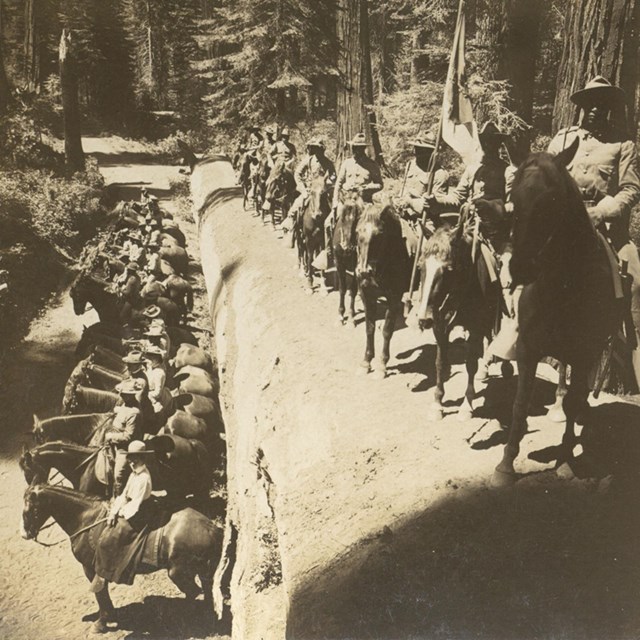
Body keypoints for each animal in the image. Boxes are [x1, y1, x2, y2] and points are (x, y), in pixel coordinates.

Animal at [20, 484, 222, 636]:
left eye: (29, 509)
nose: (24, 534)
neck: (87, 519)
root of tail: (210, 526)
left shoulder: (90, 569)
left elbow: (100, 595)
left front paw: (101, 622)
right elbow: (103, 595)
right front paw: (110, 617)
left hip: (179, 573)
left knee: (193, 592)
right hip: (202, 571)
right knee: (207, 590)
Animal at [356, 202, 410, 378]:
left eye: (379, 235)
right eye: (357, 231)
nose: (364, 271)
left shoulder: (394, 298)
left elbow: (387, 330)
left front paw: (381, 365)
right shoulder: (367, 295)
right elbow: (369, 328)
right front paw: (366, 362)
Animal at [492, 142, 624, 488]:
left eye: (551, 200)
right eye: (513, 200)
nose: (521, 267)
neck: (561, 284)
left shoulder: (585, 352)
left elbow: (573, 399)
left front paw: (565, 460)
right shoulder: (528, 349)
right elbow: (520, 403)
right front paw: (506, 464)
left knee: (576, 395)